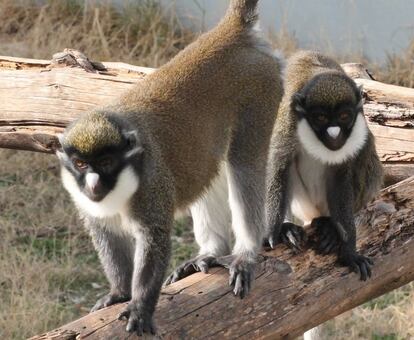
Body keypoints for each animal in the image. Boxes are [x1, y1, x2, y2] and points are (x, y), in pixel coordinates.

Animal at [55, 0, 284, 334]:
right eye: (81, 164)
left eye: (107, 162)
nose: (94, 184)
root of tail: (228, 32)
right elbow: (106, 233)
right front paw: (119, 293)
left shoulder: (151, 185)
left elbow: (155, 238)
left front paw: (140, 307)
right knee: (210, 171)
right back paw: (212, 252)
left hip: (261, 91)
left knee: (244, 164)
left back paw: (244, 254)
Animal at [266, 49, 384, 280]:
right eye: (320, 117)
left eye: (344, 116)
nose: (334, 133)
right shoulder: (288, 122)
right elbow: (278, 167)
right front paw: (273, 232)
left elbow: (342, 177)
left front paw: (349, 252)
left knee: (367, 145)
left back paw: (329, 225)